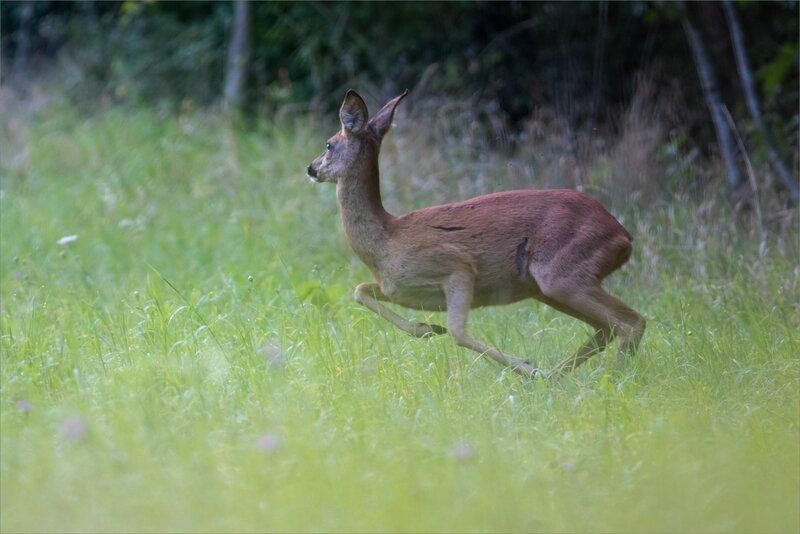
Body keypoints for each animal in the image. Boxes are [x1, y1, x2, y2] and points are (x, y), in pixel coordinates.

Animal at [306, 91, 644, 376]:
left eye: (328, 144)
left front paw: (526, 365)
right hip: (548, 288)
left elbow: (458, 332)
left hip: (562, 274)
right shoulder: (397, 290)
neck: (385, 242)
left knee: (631, 322)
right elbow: (359, 290)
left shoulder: (457, 266)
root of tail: (624, 237)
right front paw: (426, 329)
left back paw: (606, 378)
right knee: (608, 328)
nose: (311, 168)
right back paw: (558, 377)